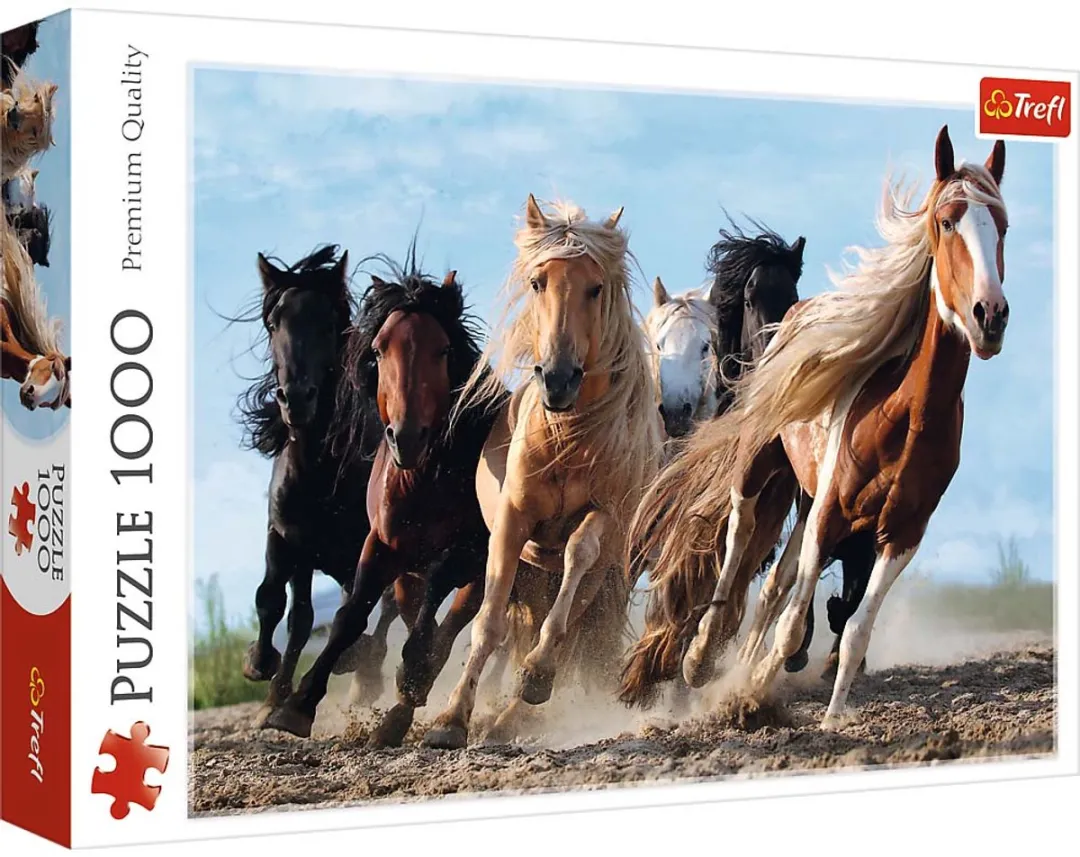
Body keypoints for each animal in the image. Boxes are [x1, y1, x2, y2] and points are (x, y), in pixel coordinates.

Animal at [235, 245, 381, 727]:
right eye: (273, 322)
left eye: (329, 322)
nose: (296, 398)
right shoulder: (287, 538)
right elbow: (275, 603)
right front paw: (262, 672)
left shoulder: (363, 549)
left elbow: (352, 612)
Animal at [264, 258, 502, 748]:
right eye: (378, 350)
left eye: (442, 350)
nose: (405, 437)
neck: (426, 478)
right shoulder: (380, 545)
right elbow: (350, 615)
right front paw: (297, 705)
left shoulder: (470, 552)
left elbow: (435, 612)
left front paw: (411, 674)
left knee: (451, 623)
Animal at [422, 195, 664, 750]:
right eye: (537, 283)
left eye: (595, 288)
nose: (557, 379)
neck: (567, 438)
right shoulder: (513, 522)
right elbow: (488, 623)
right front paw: (450, 718)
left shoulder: (605, 518)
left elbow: (577, 556)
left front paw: (534, 676)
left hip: (599, 577)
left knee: (570, 627)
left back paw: (514, 712)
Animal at [631, 125, 1008, 729]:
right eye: (947, 220)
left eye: (1002, 225)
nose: (989, 315)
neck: (904, 417)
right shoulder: (829, 509)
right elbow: (788, 621)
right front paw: (745, 690)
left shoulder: (901, 534)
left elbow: (852, 629)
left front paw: (828, 719)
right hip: (761, 465)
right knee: (738, 536)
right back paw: (701, 654)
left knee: (773, 588)